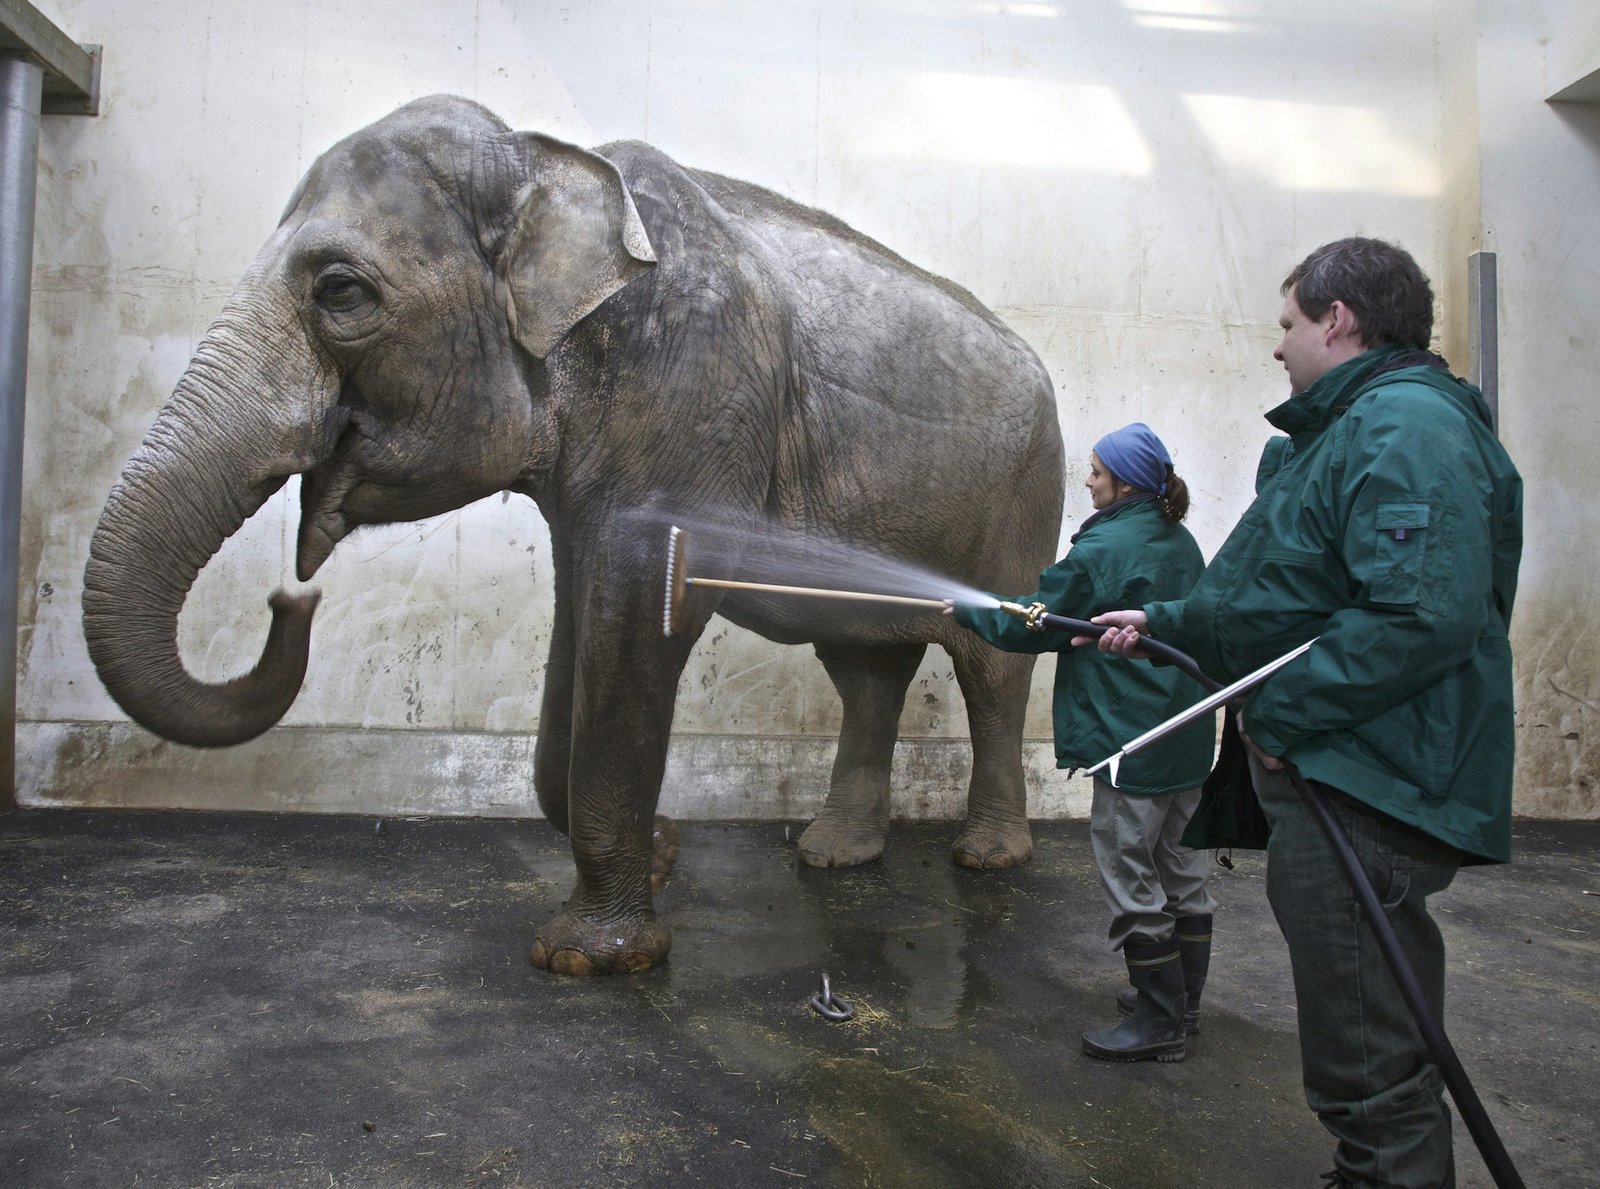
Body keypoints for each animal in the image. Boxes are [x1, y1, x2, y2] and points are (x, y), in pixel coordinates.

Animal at [82, 95, 1066, 976]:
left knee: (989, 665)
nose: (293, 596)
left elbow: (642, 613)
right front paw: (660, 852)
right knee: (864, 667)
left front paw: (586, 958)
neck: (543, 158)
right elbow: (578, 616)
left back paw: (987, 856)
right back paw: (832, 853)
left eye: (340, 290)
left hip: (1027, 492)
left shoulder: (690, 389)